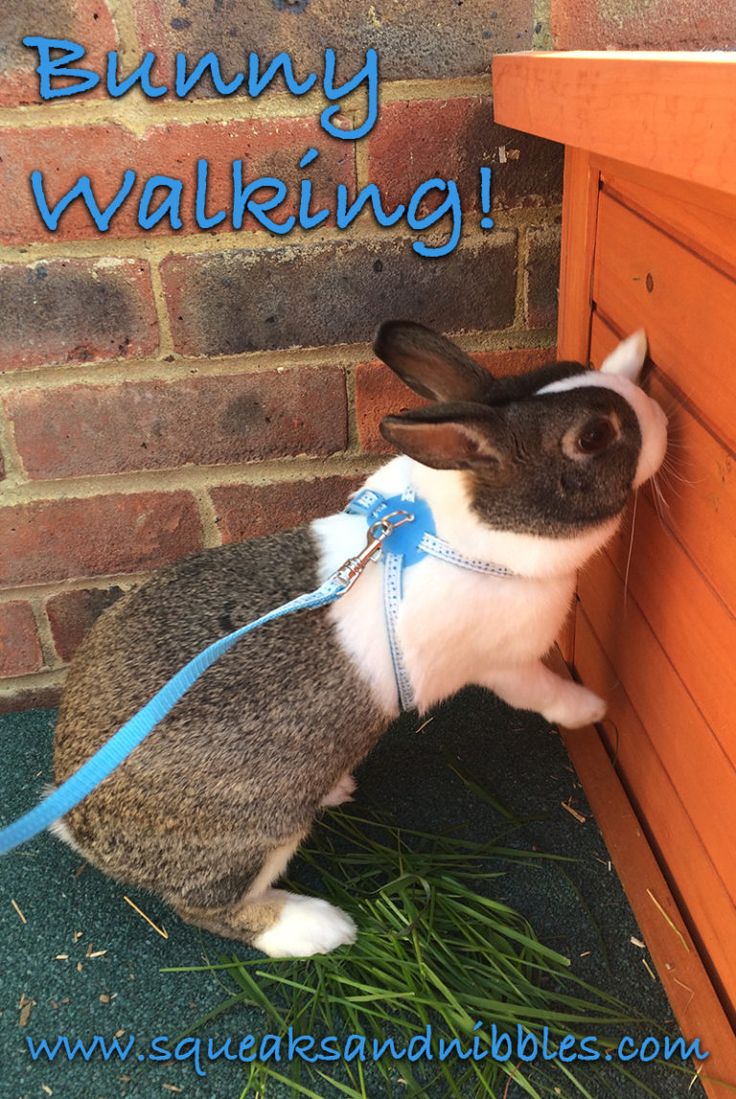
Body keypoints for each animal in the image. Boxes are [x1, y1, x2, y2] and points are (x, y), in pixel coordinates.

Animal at [51, 318, 667, 953]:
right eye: (593, 436)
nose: (660, 417)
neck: (463, 528)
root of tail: (79, 824)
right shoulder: (505, 664)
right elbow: (543, 692)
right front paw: (591, 709)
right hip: (256, 836)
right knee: (208, 909)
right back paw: (318, 928)